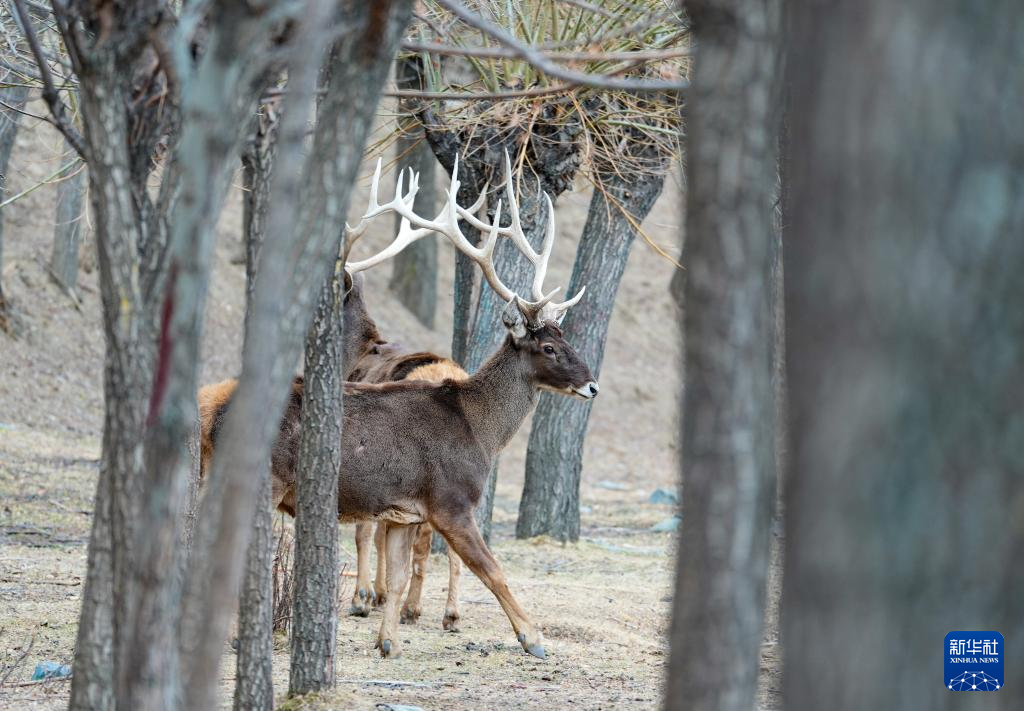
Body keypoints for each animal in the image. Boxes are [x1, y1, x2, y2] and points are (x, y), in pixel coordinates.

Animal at [200, 153, 598, 659]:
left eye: (564, 338)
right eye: (547, 346)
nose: (592, 386)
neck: (479, 430)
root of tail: (213, 410)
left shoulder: (407, 511)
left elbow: (402, 570)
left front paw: (388, 640)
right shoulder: (450, 501)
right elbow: (492, 570)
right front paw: (534, 638)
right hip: (265, 477)